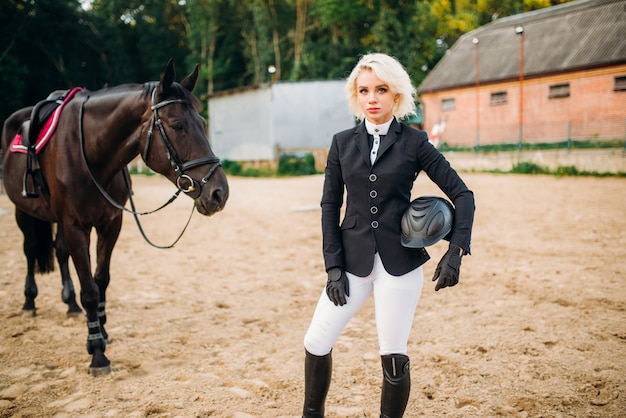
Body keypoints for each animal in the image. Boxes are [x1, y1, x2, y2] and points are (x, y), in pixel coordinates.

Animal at [1, 60, 228, 378]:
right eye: (177, 125)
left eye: (204, 124)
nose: (219, 192)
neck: (91, 155)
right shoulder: (76, 227)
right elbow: (90, 290)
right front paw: (97, 353)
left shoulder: (110, 224)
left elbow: (101, 280)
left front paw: (101, 331)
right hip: (24, 212)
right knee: (31, 250)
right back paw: (29, 301)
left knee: (59, 252)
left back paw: (70, 305)